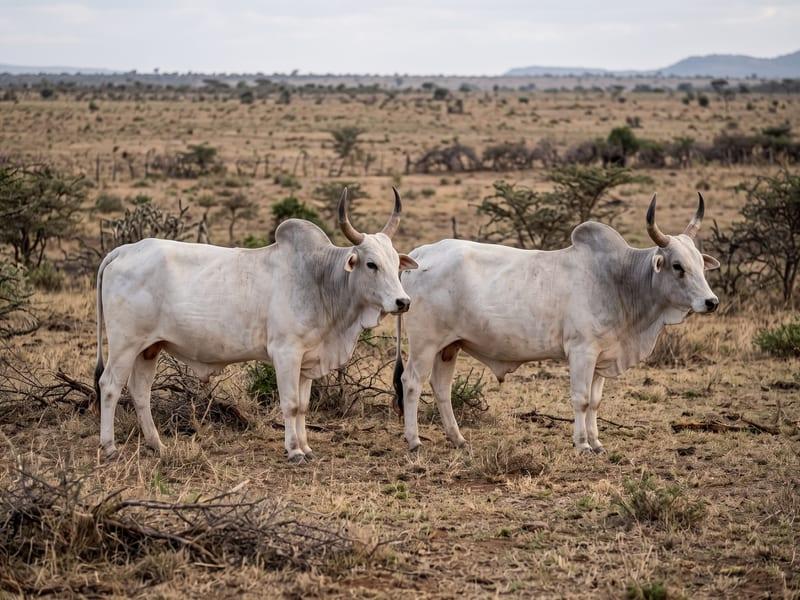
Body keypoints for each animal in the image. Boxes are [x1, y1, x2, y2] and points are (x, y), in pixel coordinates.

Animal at [95, 189, 418, 462]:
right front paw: (294, 451)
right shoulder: (286, 353)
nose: (403, 302)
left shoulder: (307, 360)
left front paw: (306, 447)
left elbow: (303, 406)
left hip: (149, 348)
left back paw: (157, 445)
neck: (319, 278)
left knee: (140, 392)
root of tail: (123, 250)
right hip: (125, 345)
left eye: (395, 263)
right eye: (371, 264)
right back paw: (109, 447)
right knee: (110, 386)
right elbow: (290, 404)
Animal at [393, 194, 720, 454]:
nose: (711, 302)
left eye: (700, 265)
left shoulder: (601, 356)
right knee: (411, 382)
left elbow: (595, 400)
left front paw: (597, 442)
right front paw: (582, 444)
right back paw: (414, 440)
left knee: (441, 387)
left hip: (449, 347)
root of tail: (422, 253)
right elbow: (581, 399)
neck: (618, 279)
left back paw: (457, 438)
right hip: (425, 344)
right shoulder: (582, 351)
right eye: (677, 266)